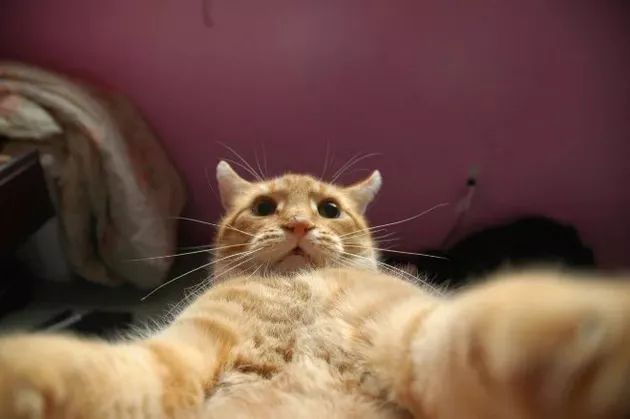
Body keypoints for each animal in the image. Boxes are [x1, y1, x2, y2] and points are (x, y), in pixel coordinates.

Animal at [1, 162, 630, 419]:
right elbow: (94, 372)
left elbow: (497, 331)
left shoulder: (415, 332)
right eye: (264, 208)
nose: (301, 225)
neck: (298, 293)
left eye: (329, 209)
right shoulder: (180, 353)